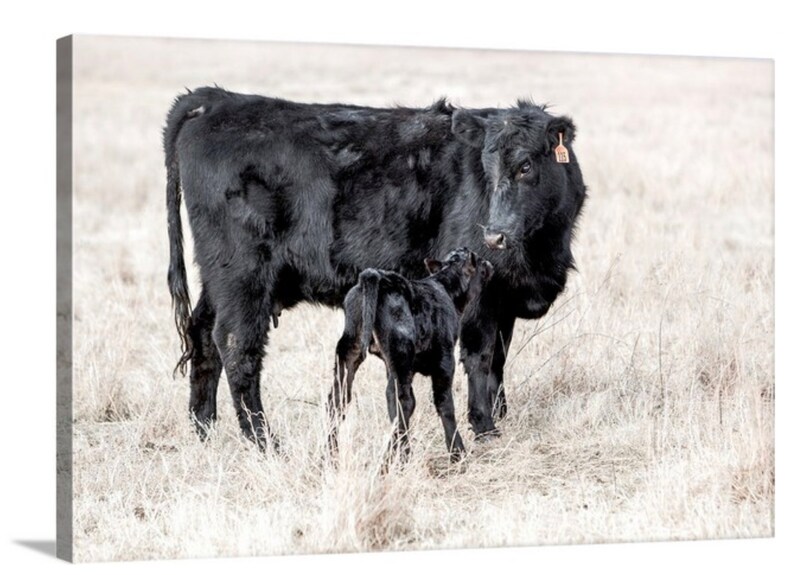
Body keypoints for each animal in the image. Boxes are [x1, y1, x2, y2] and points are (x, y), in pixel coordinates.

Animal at [328, 247, 493, 464]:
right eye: (480, 262)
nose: (490, 264)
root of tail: (376, 276)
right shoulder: (445, 360)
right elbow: (444, 403)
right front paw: (457, 454)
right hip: (401, 349)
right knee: (401, 399)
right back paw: (396, 458)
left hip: (352, 348)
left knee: (339, 399)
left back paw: (330, 455)